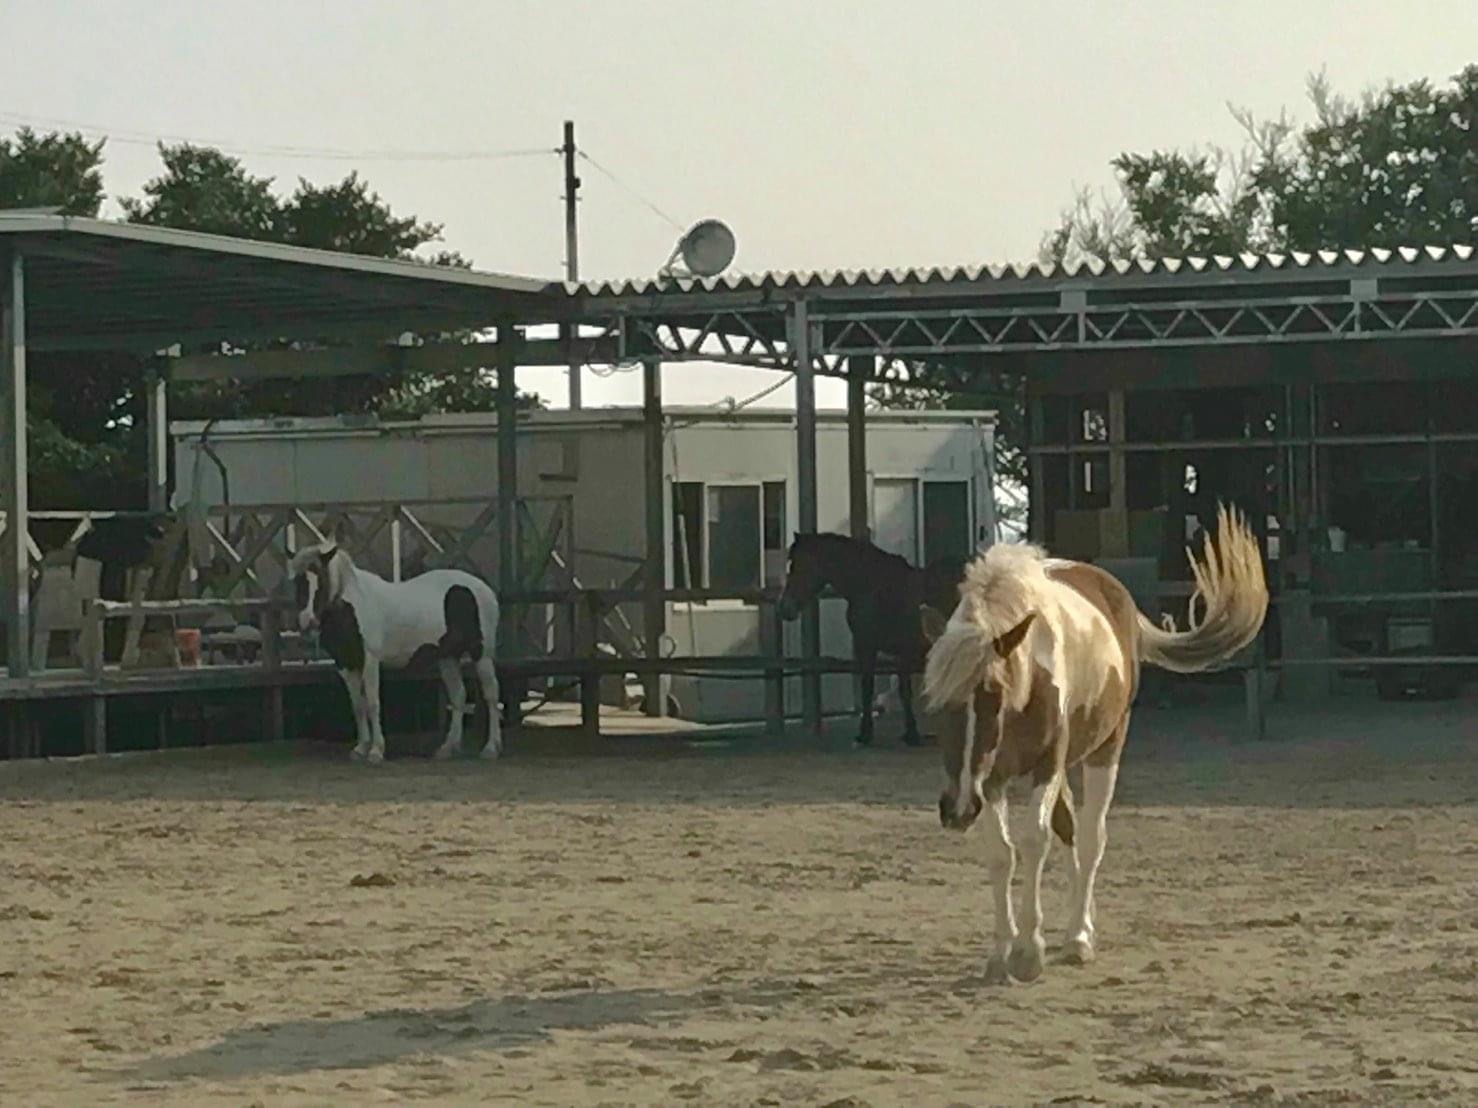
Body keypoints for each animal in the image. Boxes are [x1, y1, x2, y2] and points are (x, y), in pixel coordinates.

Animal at [285, 543, 505, 762]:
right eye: (298, 581)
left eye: (321, 580)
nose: (307, 622)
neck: (353, 606)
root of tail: (484, 589)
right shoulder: (345, 664)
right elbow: (358, 705)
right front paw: (361, 748)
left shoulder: (370, 660)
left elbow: (372, 703)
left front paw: (376, 751)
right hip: (448, 657)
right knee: (458, 696)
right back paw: (447, 748)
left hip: (482, 655)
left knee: (491, 695)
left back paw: (490, 748)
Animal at [774, 534, 969, 750]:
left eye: (801, 566)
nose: (785, 608)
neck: (875, 588)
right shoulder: (871, 648)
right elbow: (869, 688)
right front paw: (868, 734)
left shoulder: (896, 650)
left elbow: (900, 691)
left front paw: (908, 734)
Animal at [916, 508, 1265, 986]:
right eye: (936, 702)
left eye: (993, 698)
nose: (956, 809)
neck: (1030, 675)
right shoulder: (991, 778)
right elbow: (1002, 853)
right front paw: (1001, 952)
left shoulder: (1043, 765)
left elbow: (1035, 840)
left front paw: (1028, 952)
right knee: (1069, 830)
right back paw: (1078, 926)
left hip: (1104, 750)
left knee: (1089, 838)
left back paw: (1079, 937)